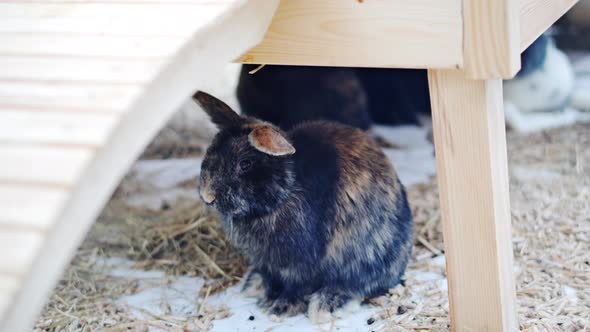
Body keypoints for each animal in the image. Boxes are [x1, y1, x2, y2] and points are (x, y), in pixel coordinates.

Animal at [195, 89, 416, 322]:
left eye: (245, 164)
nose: (207, 196)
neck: (285, 191)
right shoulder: (267, 263)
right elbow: (270, 277)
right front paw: (264, 296)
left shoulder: (300, 265)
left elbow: (296, 286)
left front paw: (279, 307)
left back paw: (325, 305)